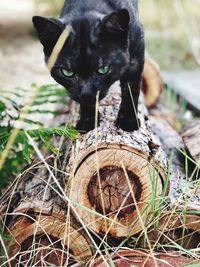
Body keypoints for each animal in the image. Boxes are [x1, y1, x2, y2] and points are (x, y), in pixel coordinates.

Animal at [33, 0, 145, 132]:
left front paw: (128, 121)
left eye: (103, 70)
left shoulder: (136, 56)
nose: (86, 94)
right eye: (67, 73)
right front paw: (88, 121)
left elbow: (131, 90)